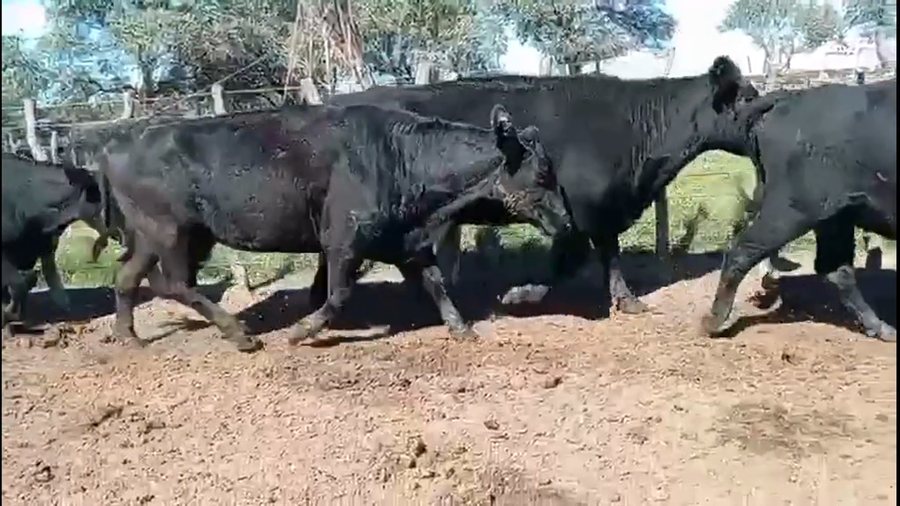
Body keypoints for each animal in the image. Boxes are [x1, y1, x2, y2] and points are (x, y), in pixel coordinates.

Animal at [92, 103, 572, 352]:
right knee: (175, 284)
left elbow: (436, 284)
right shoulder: (342, 241)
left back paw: (128, 338)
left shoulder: (407, 243)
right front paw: (302, 331)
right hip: (173, 232)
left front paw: (461, 329)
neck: (397, 156)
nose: (567, 221)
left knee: (129, 277)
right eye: (543, 174)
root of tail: (116, 142)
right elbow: (338, 294)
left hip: (158, 236)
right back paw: (240, 335)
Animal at [326, 56, 764, 315]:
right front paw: (523, 295)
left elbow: (605, 256)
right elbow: (569, 259)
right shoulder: (578, 211)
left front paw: (626, 300)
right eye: (746, 97)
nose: (772, 112)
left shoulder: (600, 212)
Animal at [701, 79, 897, 341]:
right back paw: (713, 322)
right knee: (741, 250)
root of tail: (789, 99)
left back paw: (881, 327)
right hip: (791, 210)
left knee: (836, 268)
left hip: (834, 216)